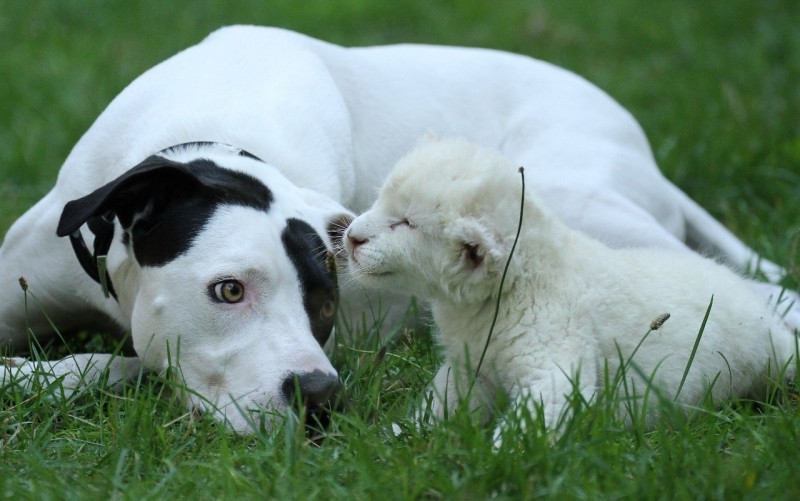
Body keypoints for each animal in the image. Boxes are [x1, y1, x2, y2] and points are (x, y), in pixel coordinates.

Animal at [346, 137, 796, 438]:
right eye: (382, 200)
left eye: (406, 223)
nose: (349, 237)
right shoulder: (470, 372)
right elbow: (437, 408)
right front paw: (395, 439)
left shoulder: (555, 368)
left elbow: (529, 426)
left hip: (771, 355)